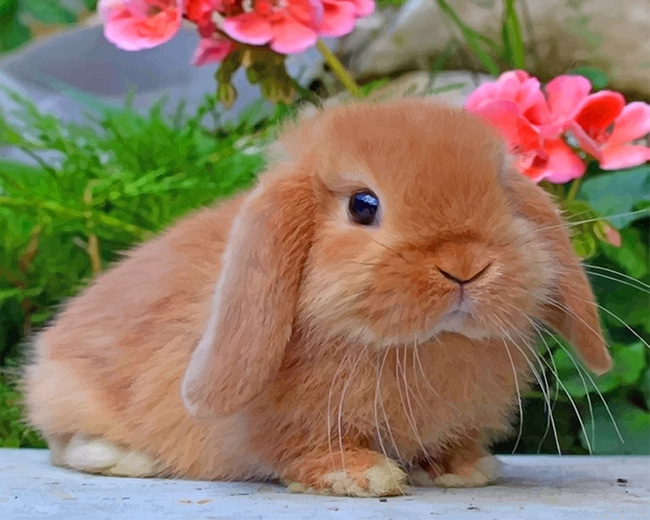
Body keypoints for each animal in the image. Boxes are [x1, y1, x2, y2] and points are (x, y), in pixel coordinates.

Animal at [21, 97, 612, 498]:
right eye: (362, 205)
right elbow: (303, 450)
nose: (465, 265)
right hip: (68, 390)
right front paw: (362, 475)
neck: (416, 347)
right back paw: (129, 459)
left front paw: (466, 469)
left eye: (503, 195)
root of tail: (46, 350)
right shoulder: (282, 426)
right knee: (62, 443)